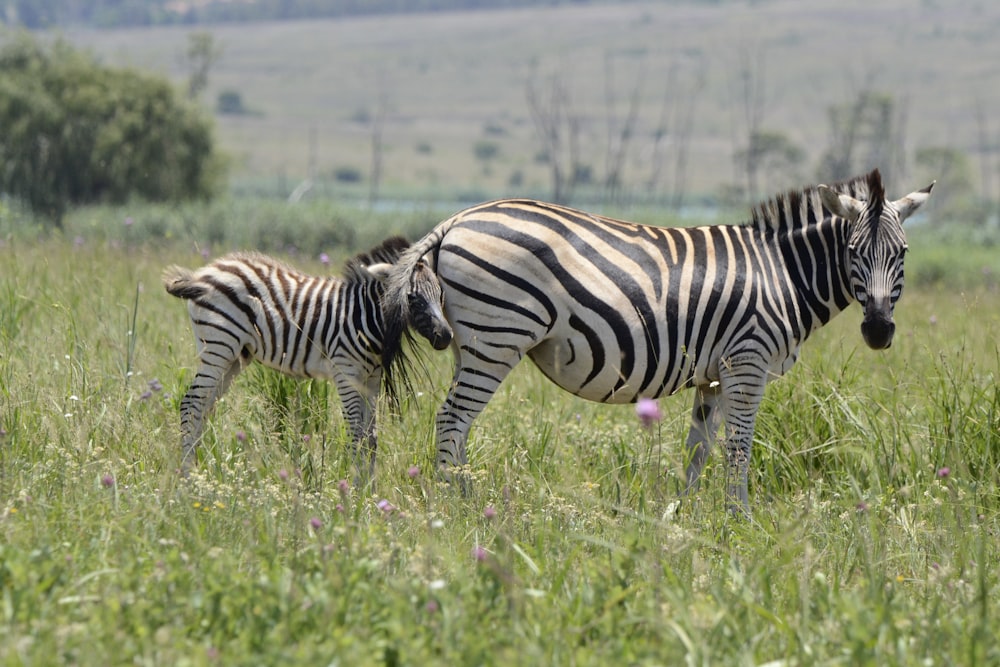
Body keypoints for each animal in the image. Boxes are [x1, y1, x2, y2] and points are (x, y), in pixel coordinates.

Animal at [162, 237, 428, 478]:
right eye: (413, 296)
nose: (439, 333)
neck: (363, 313)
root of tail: (202, 274)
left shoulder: (371, 376)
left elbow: (369, 435)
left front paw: (367, 487)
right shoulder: (345, 371)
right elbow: (358, 431)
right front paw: (356, 488)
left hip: (234, 356)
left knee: (204, 406)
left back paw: (199, 471)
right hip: (219, 344)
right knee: (192, 404)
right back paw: (187, 476)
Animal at [384, 170, 936, 516]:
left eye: (904, 253)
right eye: (853, 251)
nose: (879, 330)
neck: (783, 273)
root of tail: (455, 220)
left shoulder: (714, 375)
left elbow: (700, 447)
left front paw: (683, 515)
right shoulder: (748, 361)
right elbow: (739, 447)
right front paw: (741, 519)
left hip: (473, 343)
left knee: (460, 424)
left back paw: (462, 495)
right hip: (499, 336)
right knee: (452, 419)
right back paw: (457, 506)